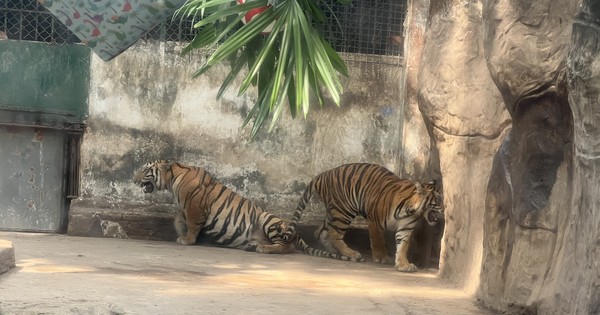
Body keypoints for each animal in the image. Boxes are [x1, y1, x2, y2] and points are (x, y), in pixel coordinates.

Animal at [134, 159, 364, 262]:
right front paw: (181, 233)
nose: (134, 180)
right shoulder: (186, 208)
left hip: (268, 220)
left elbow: (191, 224)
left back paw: (264, 249)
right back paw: (253, 246)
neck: (172, 178)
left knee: (287, 247)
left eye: (145, 170)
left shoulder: (195, 207)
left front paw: (187, 240)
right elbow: (178, 220)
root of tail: (295, 232)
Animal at [286, 163, 440, 272]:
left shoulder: (406, 227)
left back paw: (332, 251)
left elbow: (403, 246)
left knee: (321, 232)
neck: (411, 210)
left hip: (333, 212)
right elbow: (378, 241)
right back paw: (352, 253)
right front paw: (382, 258)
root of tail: (324, 174)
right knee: (334, 234)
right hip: (344, 211)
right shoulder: (375, 221)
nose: (443, 210)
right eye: (438, 200)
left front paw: (403, 265)